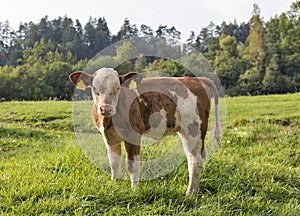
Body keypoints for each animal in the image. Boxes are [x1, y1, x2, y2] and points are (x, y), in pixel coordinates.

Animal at [69, 67, 220, 194]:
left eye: (117, 88)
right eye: (94, 88)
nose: (106, 108)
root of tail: (196, 79)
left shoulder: (133, 134)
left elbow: (132, 165)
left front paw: (134, 190)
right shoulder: (109, 137)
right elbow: (114, 162)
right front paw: (115, 185)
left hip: (193, 129)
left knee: (195, 161)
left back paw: (190, 193)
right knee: (197, 158)